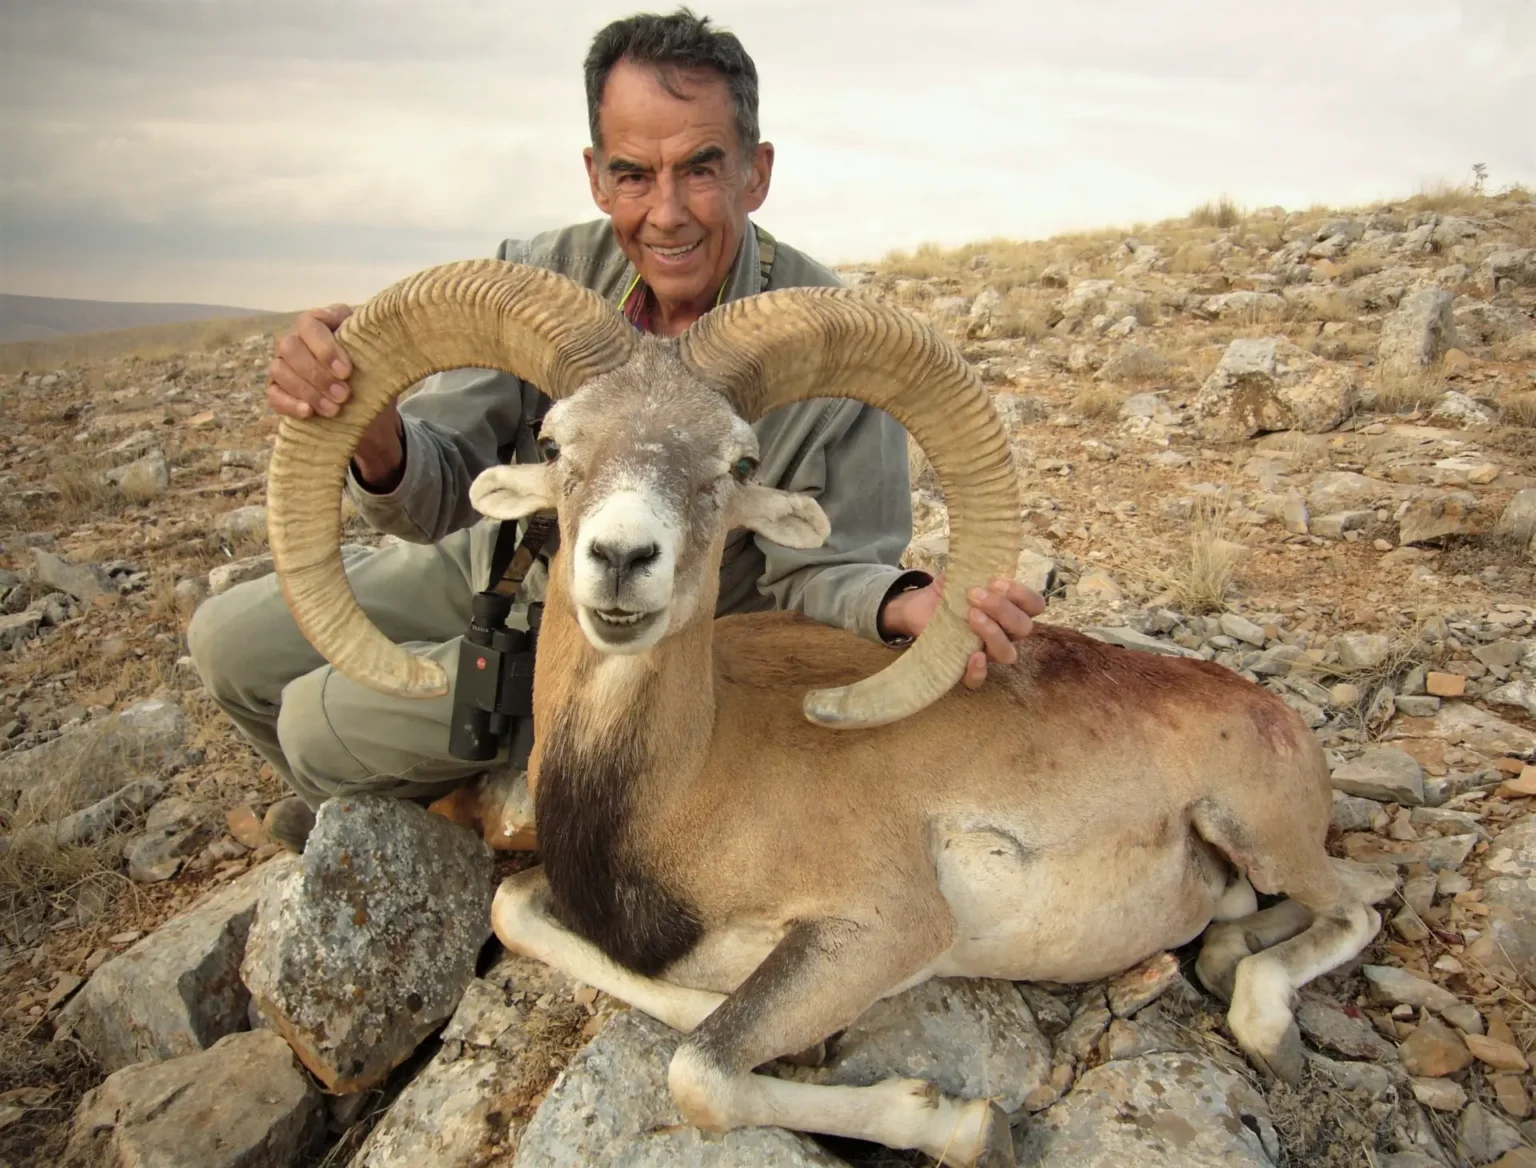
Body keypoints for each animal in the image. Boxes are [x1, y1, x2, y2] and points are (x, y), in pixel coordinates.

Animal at [264, 259, 1384, 1167]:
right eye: (553, 438)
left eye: (737, 463)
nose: (622, 559)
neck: (688, 787)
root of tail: (1276, 718)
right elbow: (533, 923)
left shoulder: (881, 927)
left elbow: (698, 1073)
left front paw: (954, 1119)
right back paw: (1228, 951)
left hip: (1260, 828)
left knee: (1358, 908)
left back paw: (1263, 1015)